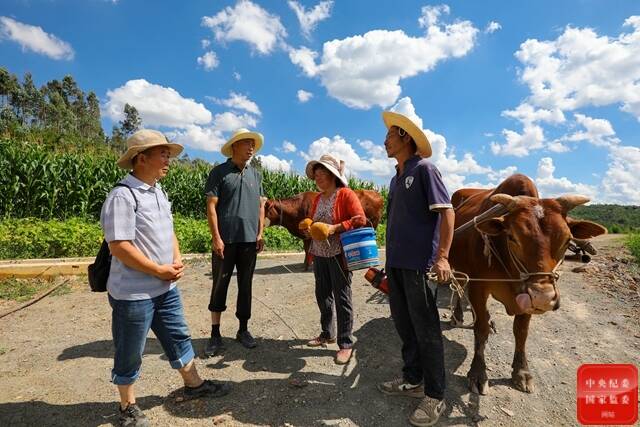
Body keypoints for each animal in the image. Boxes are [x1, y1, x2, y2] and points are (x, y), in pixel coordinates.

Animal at [450, 174, 604, 394]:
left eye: (567, 240)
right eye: (512, 237)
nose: (543, 297)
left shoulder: (526, 298)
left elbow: (521, 332)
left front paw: (521, 372)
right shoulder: (479, 287)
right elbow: (480, 329)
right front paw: (478, 373)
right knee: (458, 288)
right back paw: (457, 315)